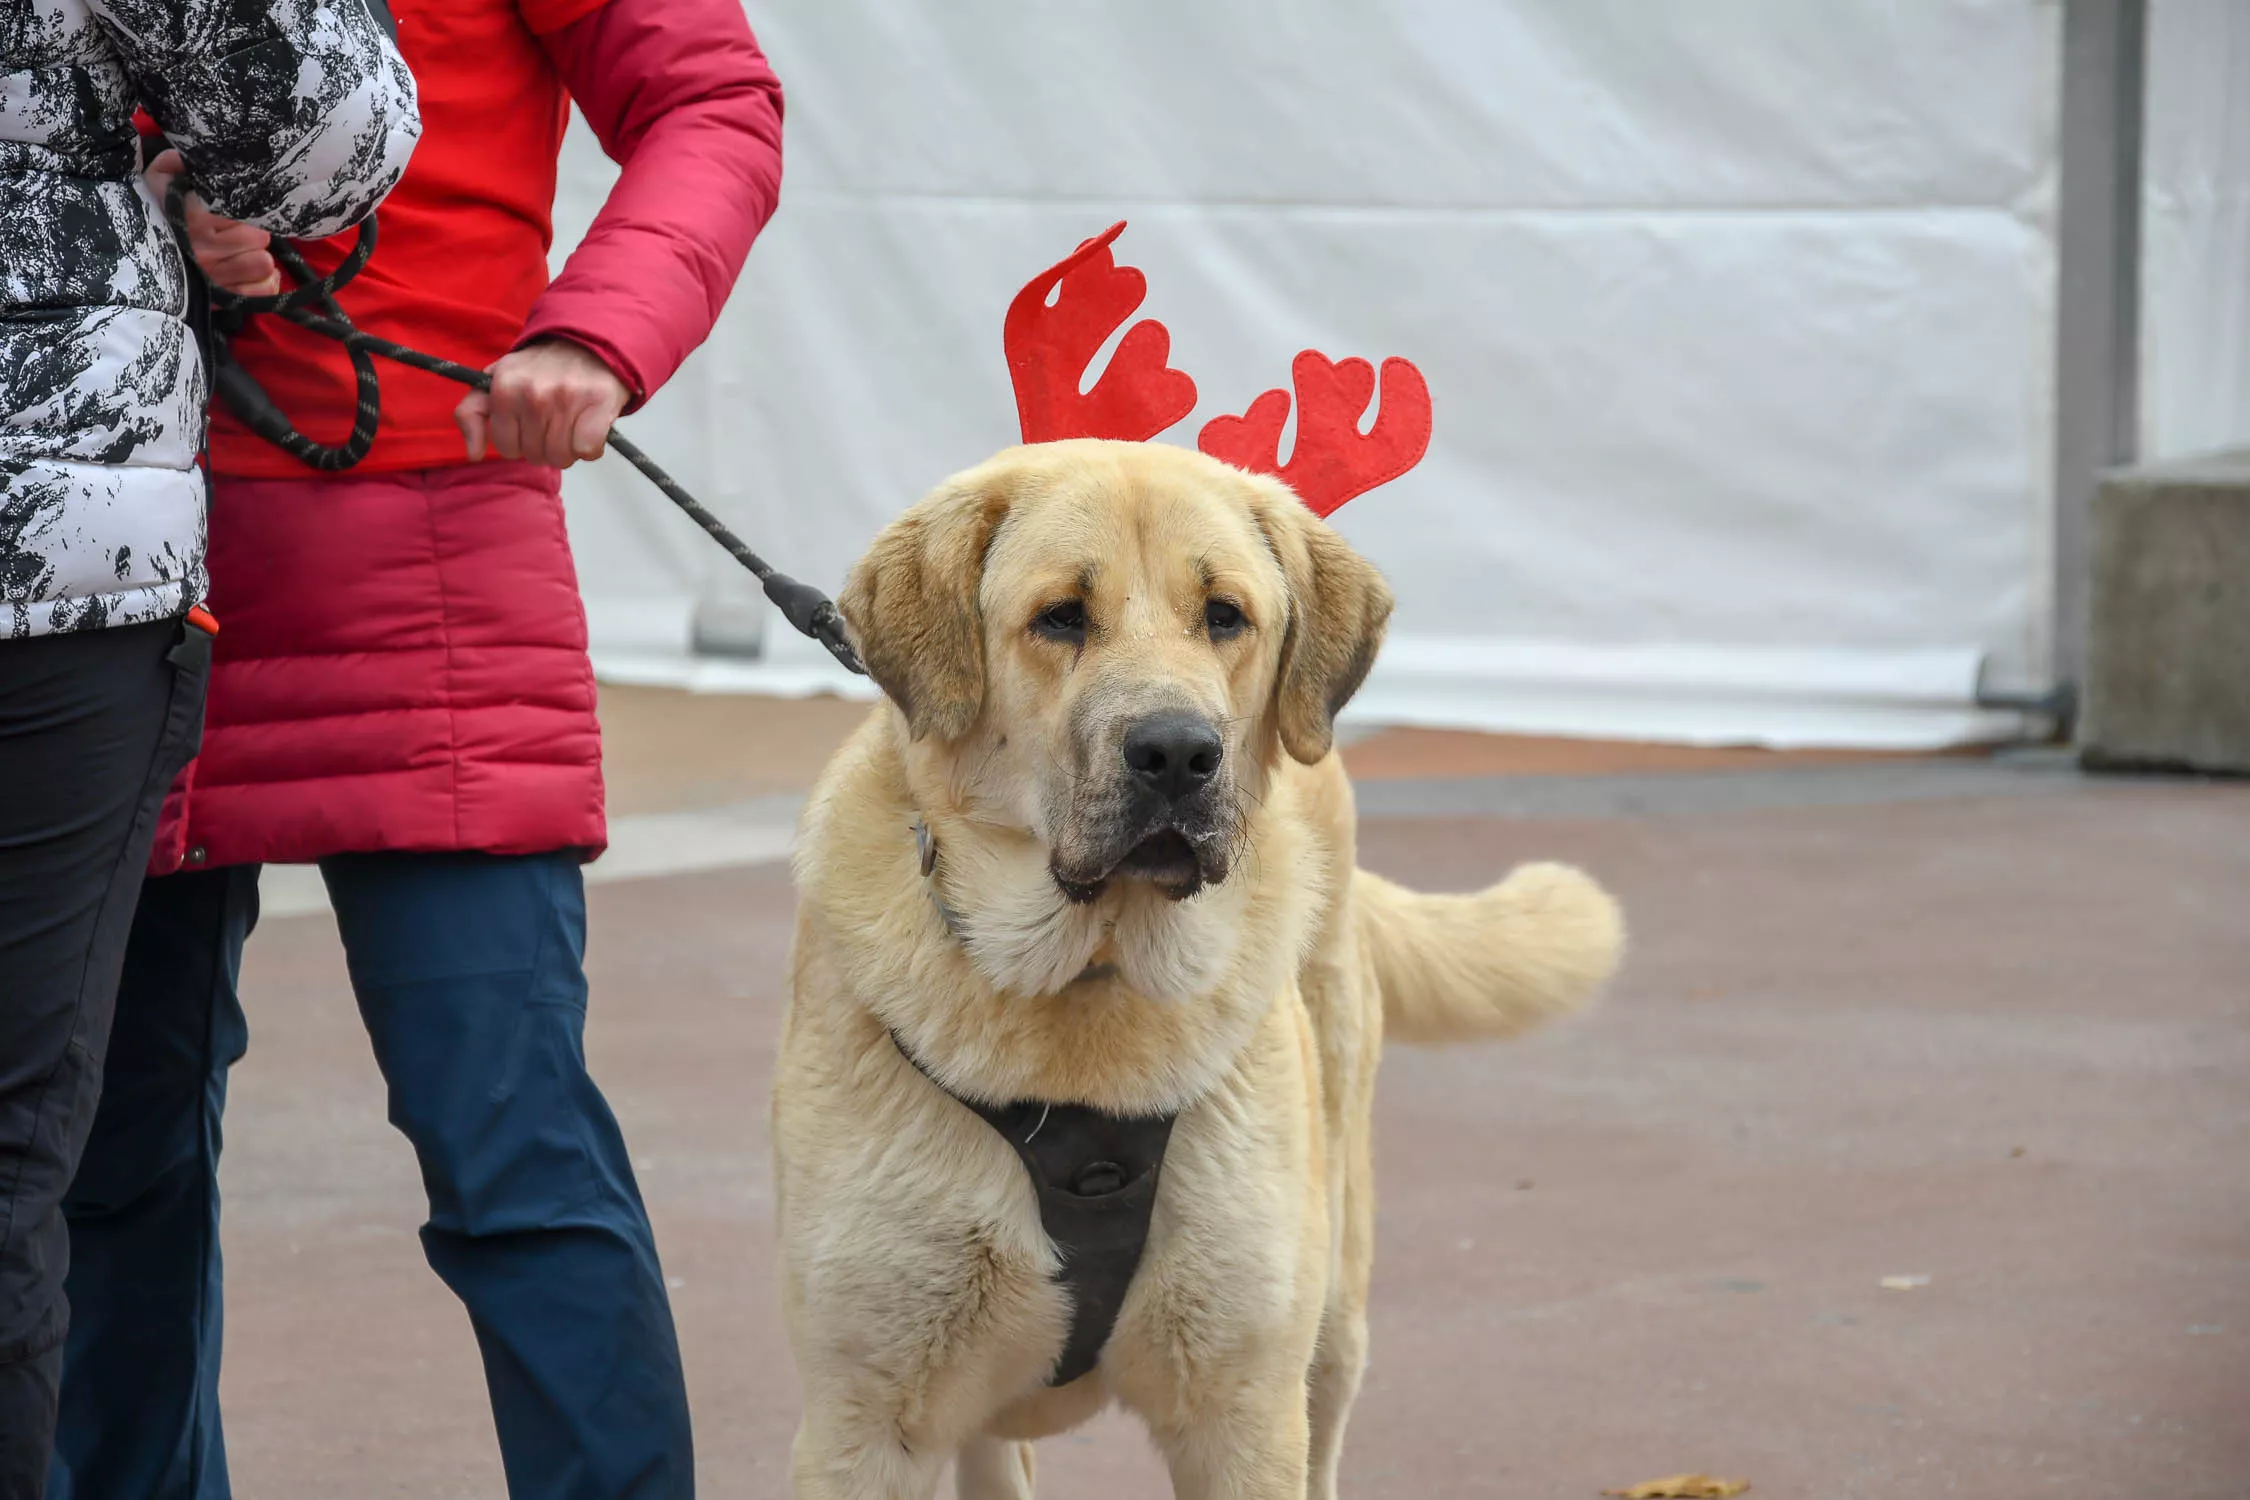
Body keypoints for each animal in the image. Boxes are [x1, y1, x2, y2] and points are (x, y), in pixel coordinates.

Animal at [783, 440, 1629, 1493]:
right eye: (1060, 616)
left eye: (1224, 614)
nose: (1179, 752)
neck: (1093, 983)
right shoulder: (862, 1414)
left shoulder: (1244, 1404)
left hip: (1331, 1311)